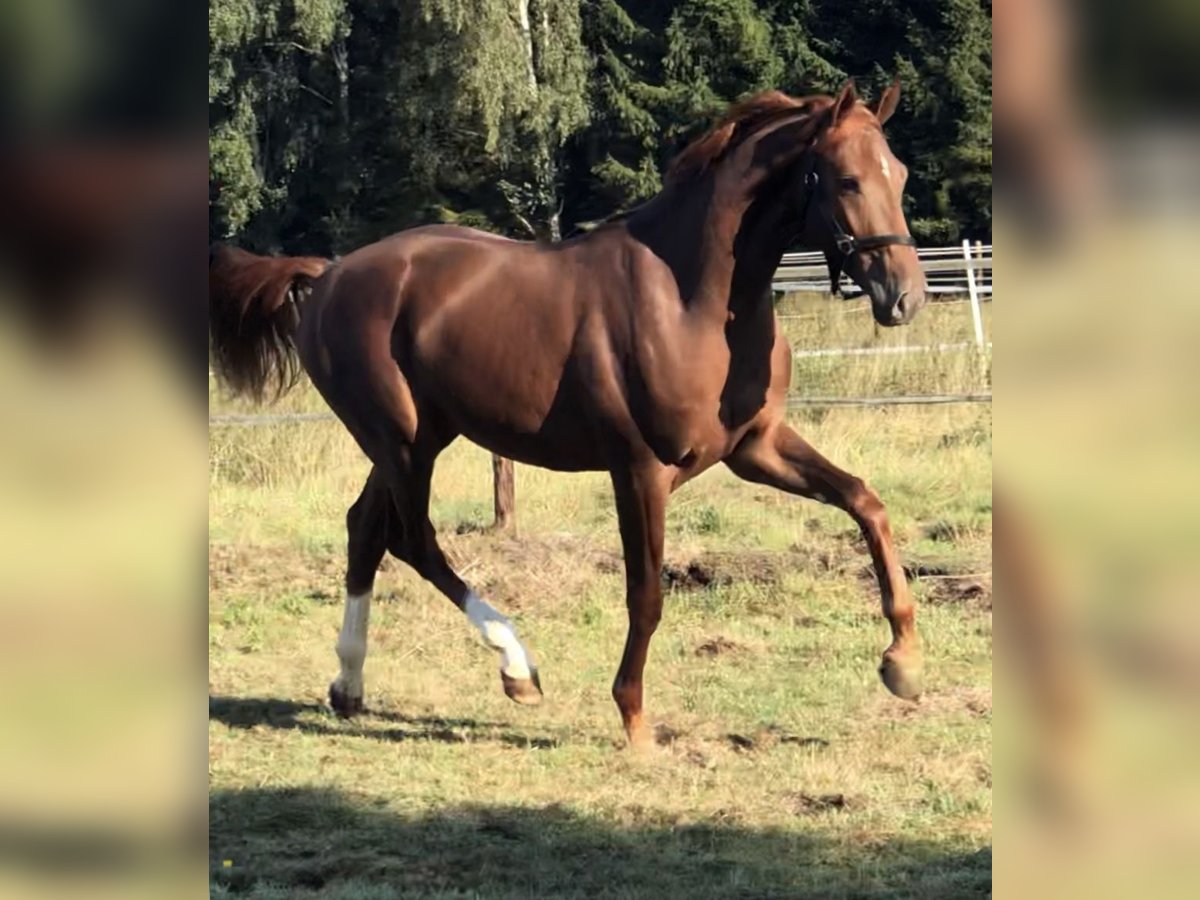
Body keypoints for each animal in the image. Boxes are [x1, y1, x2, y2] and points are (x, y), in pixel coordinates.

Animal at [208, 79, 926, 748]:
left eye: (899, 174)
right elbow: (646, 592)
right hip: (403, 441)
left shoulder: (756, 447)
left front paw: (903, 665)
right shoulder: (640, 469)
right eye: (846, 178)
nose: (905, 298)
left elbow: (866, 502)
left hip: (413, 440)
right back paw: (516, 668)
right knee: (413, 540)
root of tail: (327, 275)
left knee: (365, 530)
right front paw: (634, 718)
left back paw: (350, 686)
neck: (692, 300)